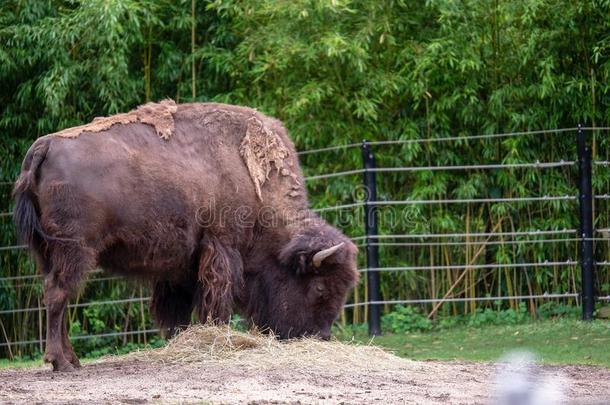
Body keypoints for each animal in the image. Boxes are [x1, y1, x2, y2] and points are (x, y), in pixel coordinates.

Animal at [11, 100, 358, 370]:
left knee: (57, 296)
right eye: (320, 288)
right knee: (58, 294)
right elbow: (216, 298)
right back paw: (61, 362)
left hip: (48, 252)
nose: (321, 336)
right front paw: (214, 335)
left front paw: (179, 340)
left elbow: (176, 309)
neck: (255, 181)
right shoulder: (220, 248)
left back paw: (73, 359)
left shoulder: (180, 265)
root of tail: (45, 146)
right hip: (74, 250)